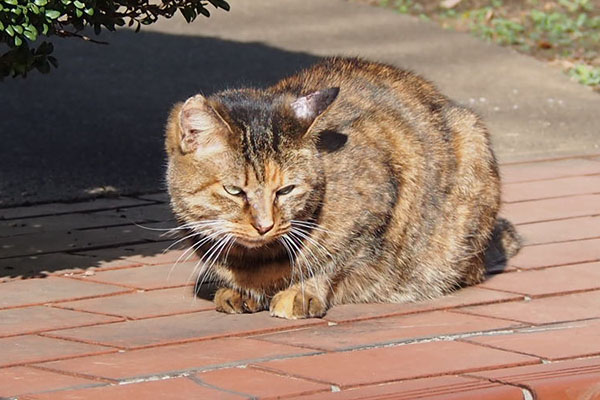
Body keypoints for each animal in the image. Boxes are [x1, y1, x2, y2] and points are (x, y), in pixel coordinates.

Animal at [165, 55, 520, 318]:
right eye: (235, 191)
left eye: (286, 190)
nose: (265, 226)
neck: (255, 260)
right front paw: (239, 292)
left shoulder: (377, 207)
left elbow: (333, 260)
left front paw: (301, 292)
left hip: (471, 143)